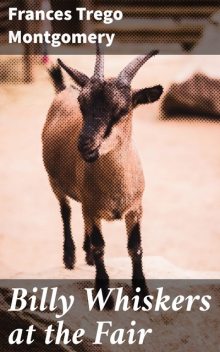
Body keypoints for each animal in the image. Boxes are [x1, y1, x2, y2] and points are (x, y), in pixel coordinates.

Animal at [42, 49, 163, 308]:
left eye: (122, 110)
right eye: (82, 104)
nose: (85, 145)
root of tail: (63, 89)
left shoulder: (135, 208)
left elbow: (135, 247)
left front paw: (142, 294)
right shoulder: (91, 207)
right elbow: (100, 247)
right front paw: (103, 295)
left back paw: (84, 253)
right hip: (54, 182)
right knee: (66, 211)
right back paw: (70, 256)